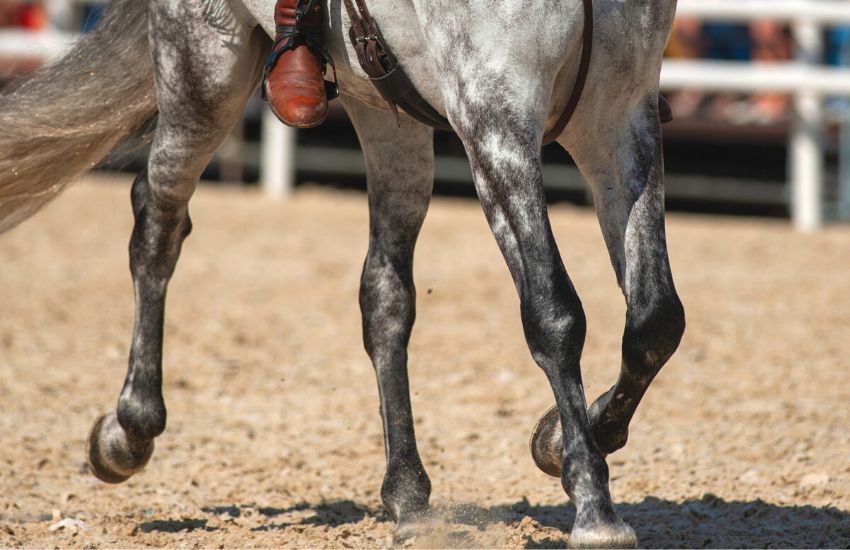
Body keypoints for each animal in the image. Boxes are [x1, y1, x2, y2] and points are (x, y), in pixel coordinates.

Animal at [0, 0, 684, 544]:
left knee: (385, 297)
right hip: (203, 67)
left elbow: (655, 323)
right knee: (158, 222)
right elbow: (555, 315)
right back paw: (126, 434)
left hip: (387, 109)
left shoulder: (619, 118)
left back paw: (408, 495)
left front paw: (557, 441)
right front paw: (594, 505)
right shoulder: (496, 120)